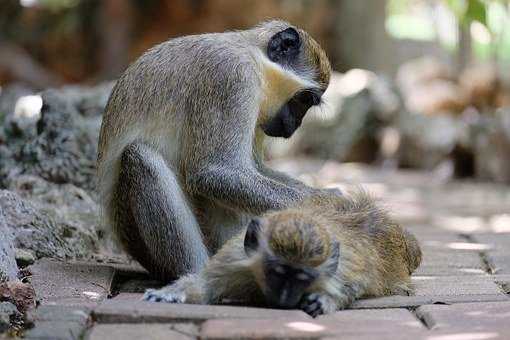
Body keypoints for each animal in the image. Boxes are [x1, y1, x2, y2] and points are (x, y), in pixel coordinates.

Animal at [97, 20, 332, 294]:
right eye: (304, 100)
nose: (294, 127)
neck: (253, 55)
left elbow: (250, 169)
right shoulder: (233, 79)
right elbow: (214, 171)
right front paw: (327, 204)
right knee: (141, 158)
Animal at [143, 190, 422, 318]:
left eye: (302, 278)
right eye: (277, 272)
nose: (285, 297)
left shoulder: (341, 269)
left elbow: (351, 286)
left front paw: (325, 301)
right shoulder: (235, 258)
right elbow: (205, 284)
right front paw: (171, 293)